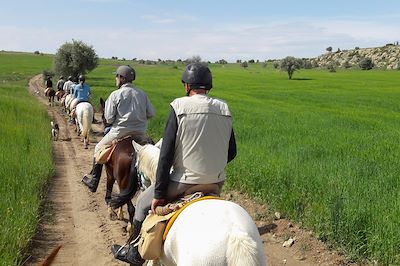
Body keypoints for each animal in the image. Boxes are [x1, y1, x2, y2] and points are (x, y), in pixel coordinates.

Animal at [100, 97, 155, 231]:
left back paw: (130, 228)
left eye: (103, 116)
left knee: (131, 207)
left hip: (123, 181)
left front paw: (112, 212)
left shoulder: (110, 174)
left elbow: (110, 191)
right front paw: (120, 214)